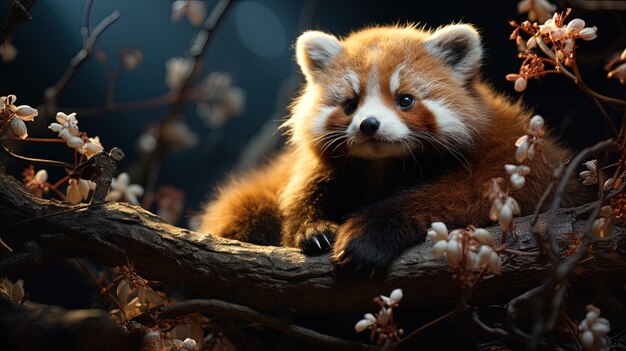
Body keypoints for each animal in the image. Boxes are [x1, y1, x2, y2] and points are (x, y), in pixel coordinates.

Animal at [199, 24, 576, 272]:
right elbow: (298, 197)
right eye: (350, 104)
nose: (369, 124)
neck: (385, 166)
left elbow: (473, 195)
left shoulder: (514, 149)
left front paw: (368, 234)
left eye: (405, 100)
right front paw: (311, 230)